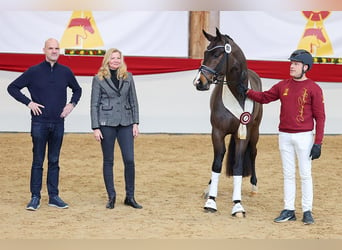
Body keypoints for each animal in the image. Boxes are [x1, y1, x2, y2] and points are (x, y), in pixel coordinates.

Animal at [192, 28, 262, 218]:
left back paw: (254, 187)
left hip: (255, 132)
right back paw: (208, 188)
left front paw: (237, 205)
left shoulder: (242, 134)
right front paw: (211, 201)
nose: (199, 82)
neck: (237, 93)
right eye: (205, 53)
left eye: (217, 54)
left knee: (253, 153)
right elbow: (216, 163)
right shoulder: (217, 132)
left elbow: (238, 166)